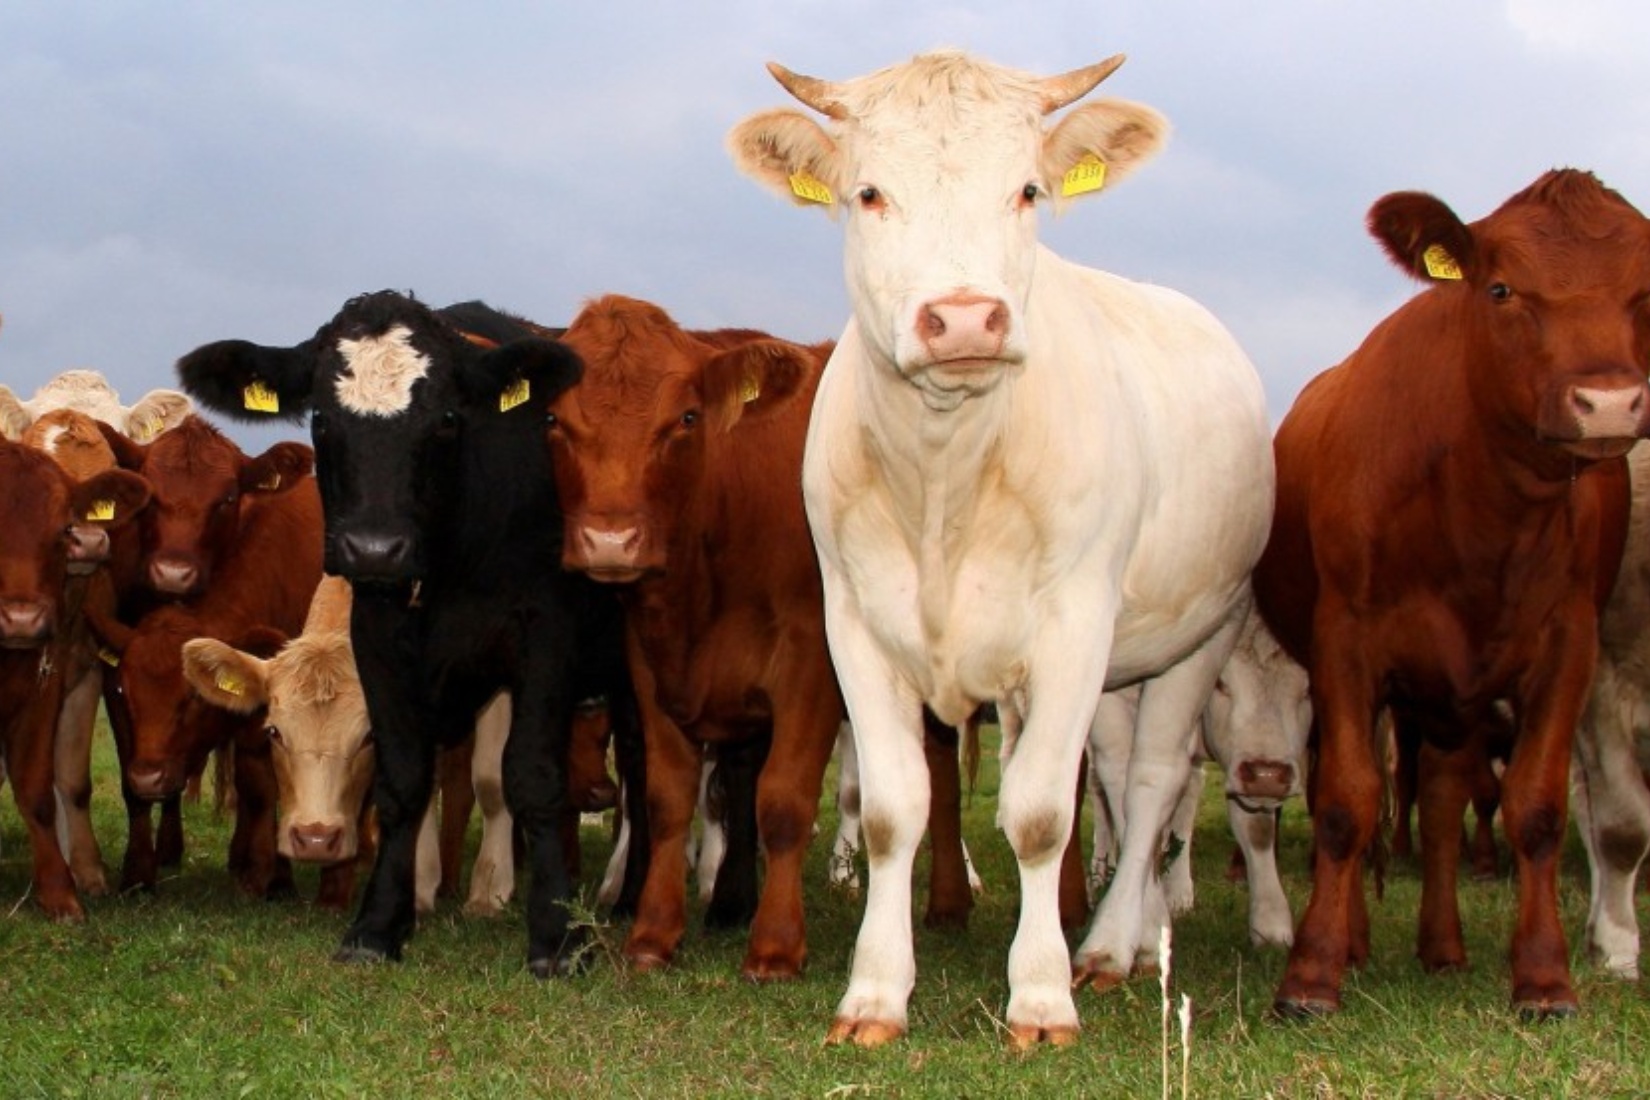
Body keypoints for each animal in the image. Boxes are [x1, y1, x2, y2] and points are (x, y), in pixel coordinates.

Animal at [174, 288, 636, 976]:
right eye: (321, 419)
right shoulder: (380, 641)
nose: (373, 548)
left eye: (445, 418)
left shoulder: (541, 641)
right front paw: (383, 921)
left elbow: (525, 778)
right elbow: (404, 783)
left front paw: (554, 935)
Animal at [729, 51, 1267, 1048]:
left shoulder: (1074, 629)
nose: (967, 318)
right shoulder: (854, 626)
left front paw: (1043, 994)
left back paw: (1113, 944)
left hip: (1199, 633)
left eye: (1026, 190)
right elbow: (893, 811)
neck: (947, 476)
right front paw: (874, 992)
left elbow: (1042, 813)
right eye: (868, 192)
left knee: (1152, 785)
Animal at [1247, 169, 1650, 1022]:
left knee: (1438, 804)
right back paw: (1359, 941)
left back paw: (1443, 947)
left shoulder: (1570, 648)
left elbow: (1535, 807)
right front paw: (1312, 974)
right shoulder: (1346, 643)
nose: (1606, 403)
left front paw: (1545, 978)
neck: (1483, 510)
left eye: (1645, 291)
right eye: (1501, 288)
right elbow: (1345, 802)